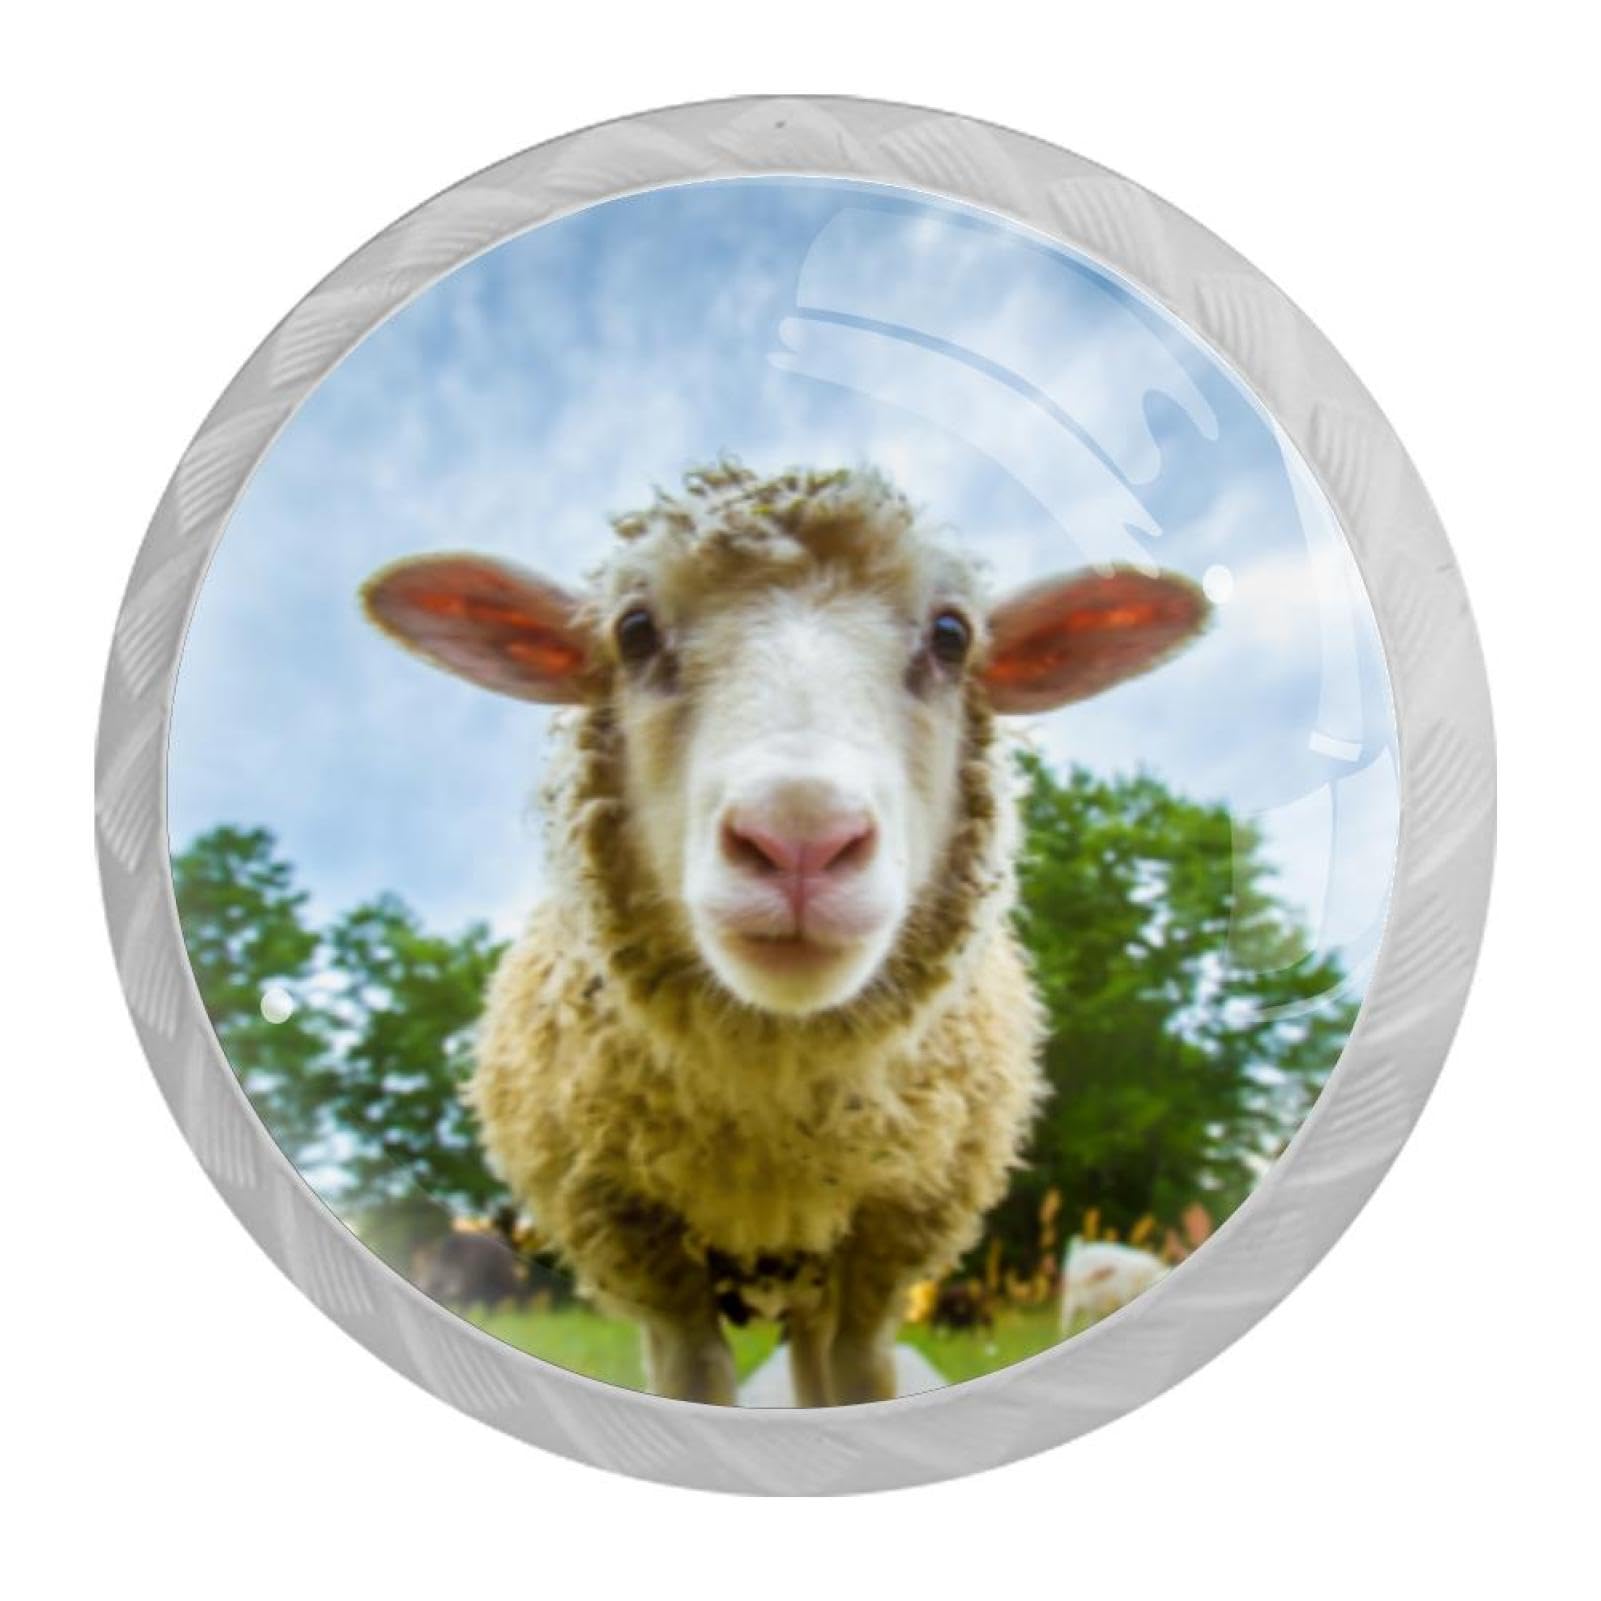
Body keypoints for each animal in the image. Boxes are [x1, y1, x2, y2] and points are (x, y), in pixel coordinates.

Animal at [362, 463, 1208, 1405]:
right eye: (632, 630)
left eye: (952, 636)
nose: (800, 836)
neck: (770, 1119)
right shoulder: (646, 1256)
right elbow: (695, 1377)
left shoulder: (885, 1242)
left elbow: (860, 1375)